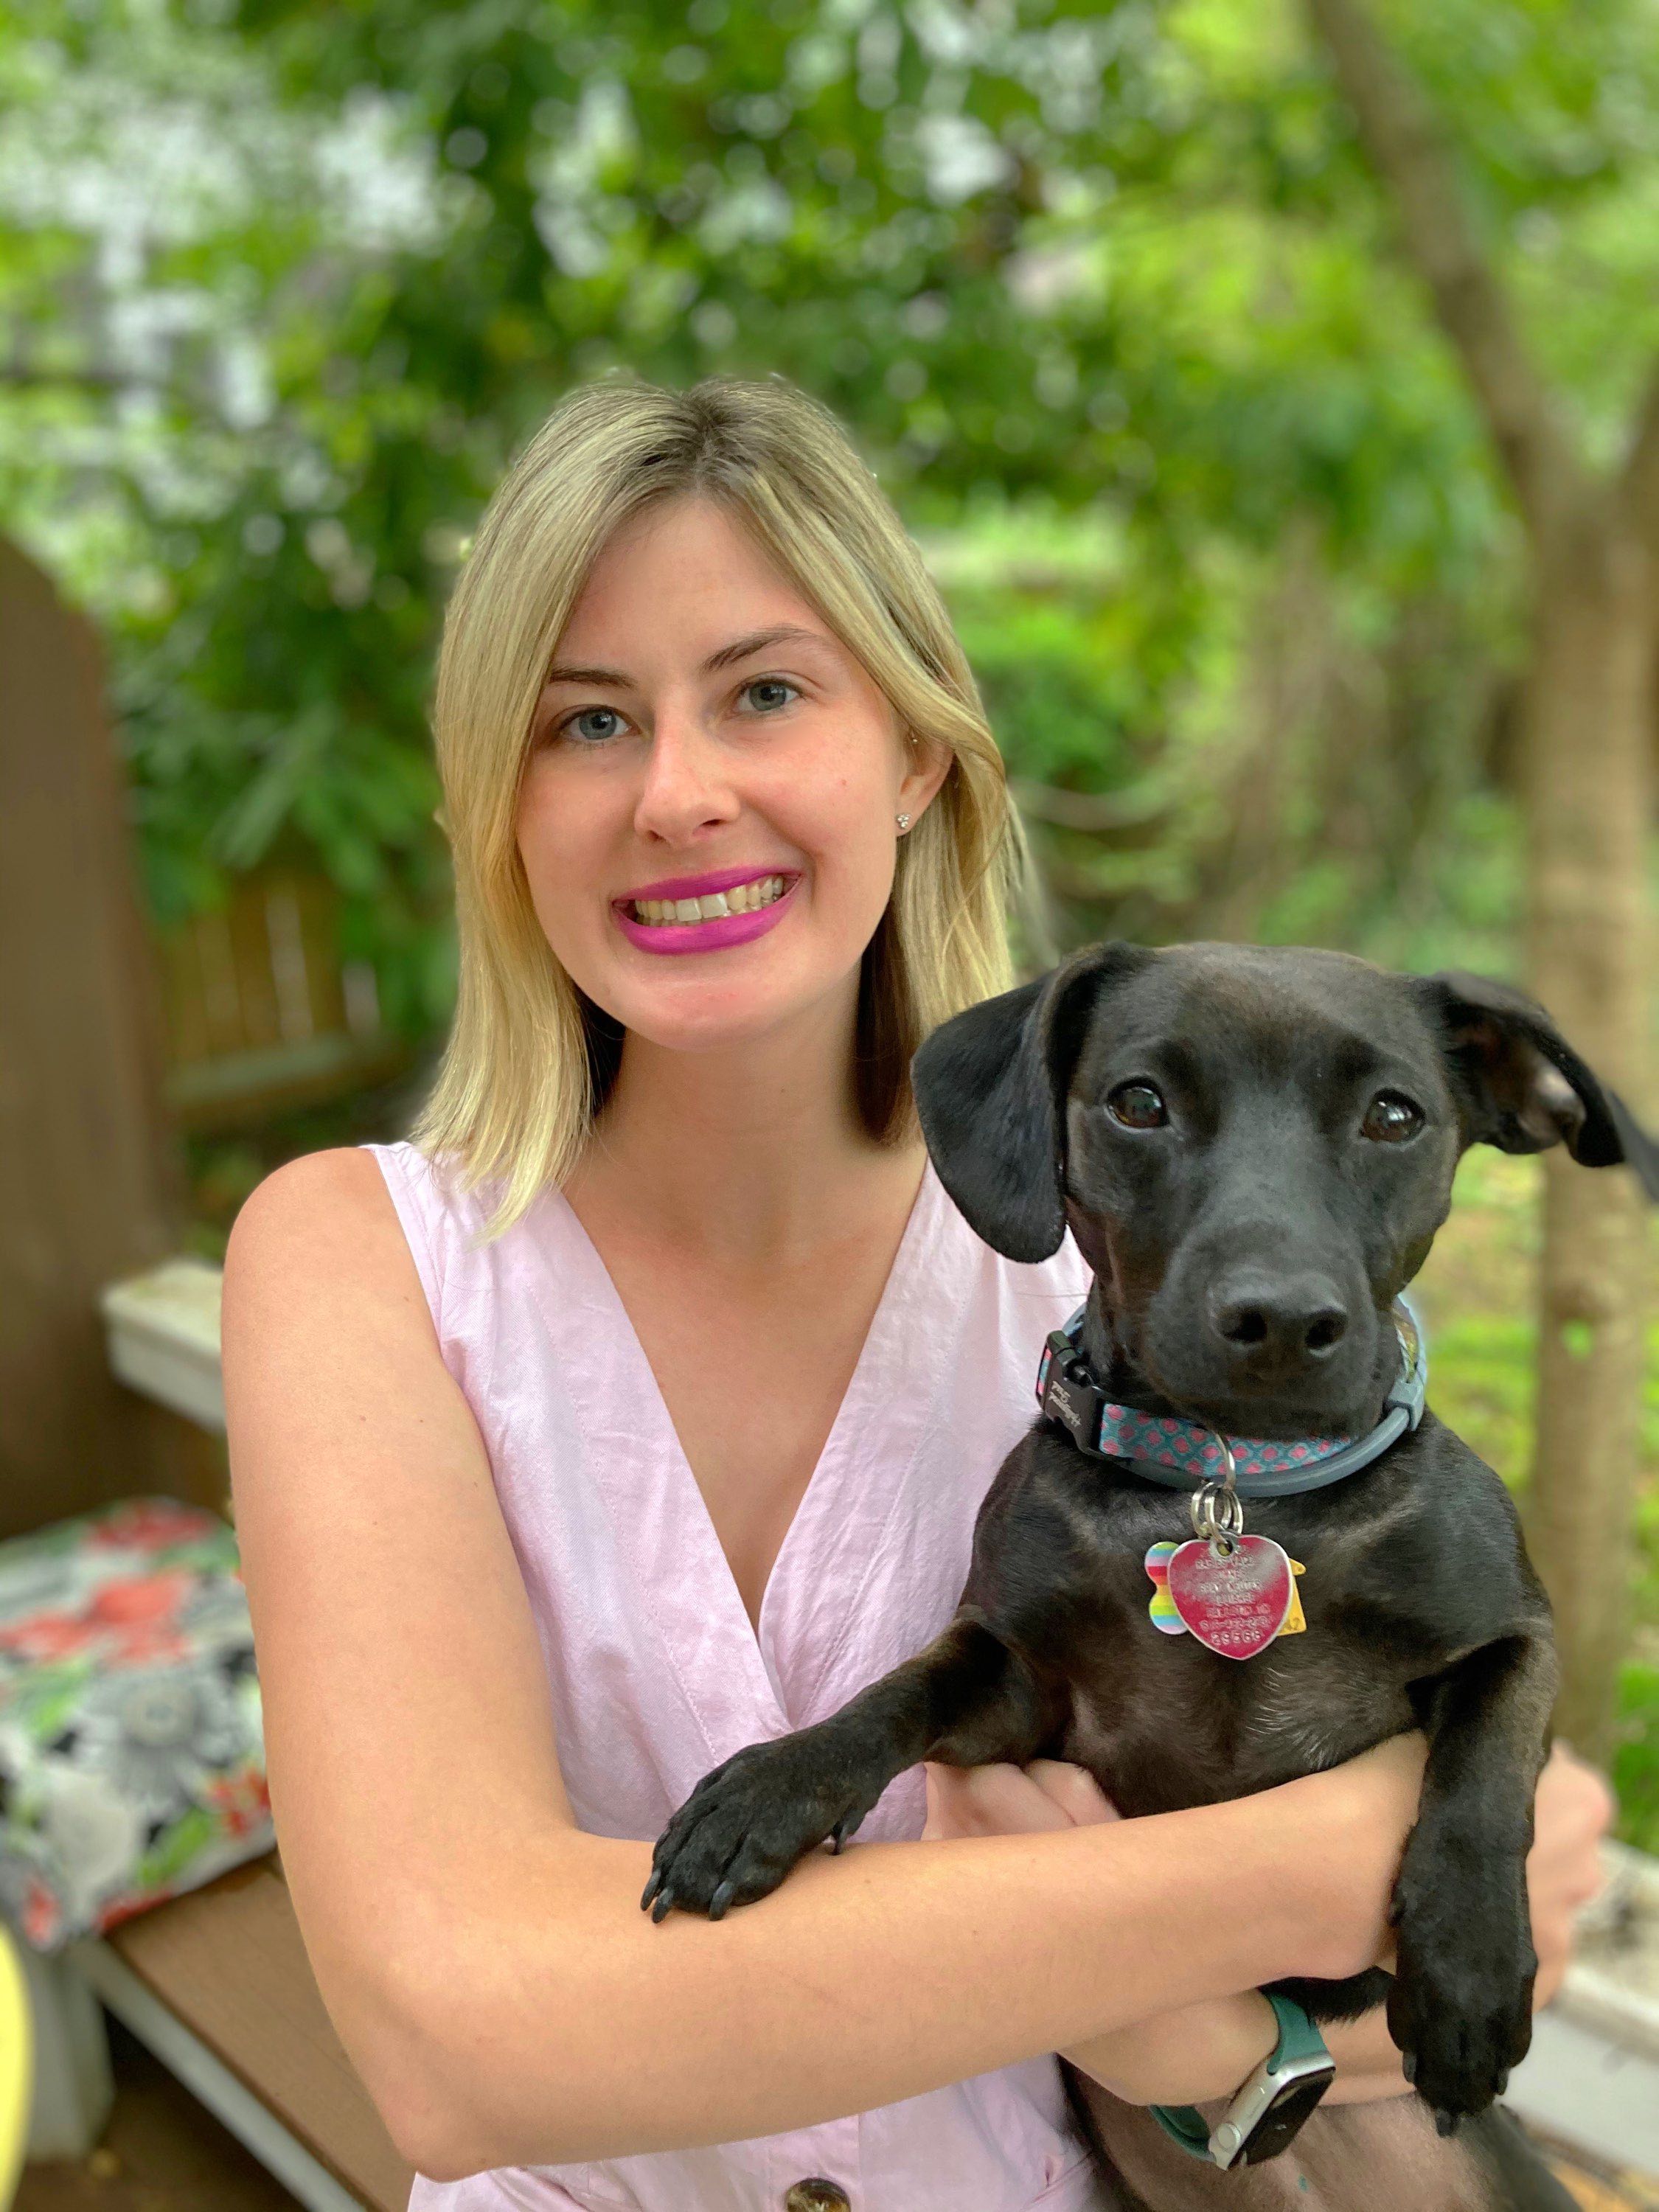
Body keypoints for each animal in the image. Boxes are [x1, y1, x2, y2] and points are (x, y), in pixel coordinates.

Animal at [641, 942, 1655, 2203]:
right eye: (1138, 1103)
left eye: (1392, 1116)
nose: (1280, 1320)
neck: (1232, 1484)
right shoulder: (1018, 1692)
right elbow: (897, 1693)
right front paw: (767, 1791)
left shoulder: (1516, 1634)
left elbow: (1482, 1769)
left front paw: (1466, 1966)